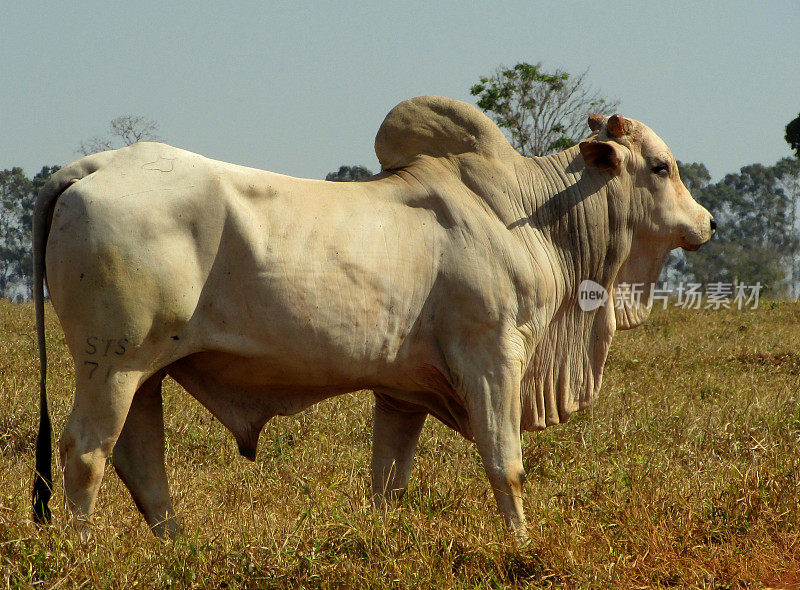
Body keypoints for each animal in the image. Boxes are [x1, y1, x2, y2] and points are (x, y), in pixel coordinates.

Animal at [32, 96, 712, 540]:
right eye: (661, 167)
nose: (705, 222)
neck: (529, 214)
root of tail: (91, 168)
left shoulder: (402, 393)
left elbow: (388, 483)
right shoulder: (493, 356)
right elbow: (507, 465)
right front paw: (522, 542)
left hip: (145, 372)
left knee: (140, 461)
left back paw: (176, 547)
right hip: (112, 365)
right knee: (85, 452)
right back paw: (83, 552)